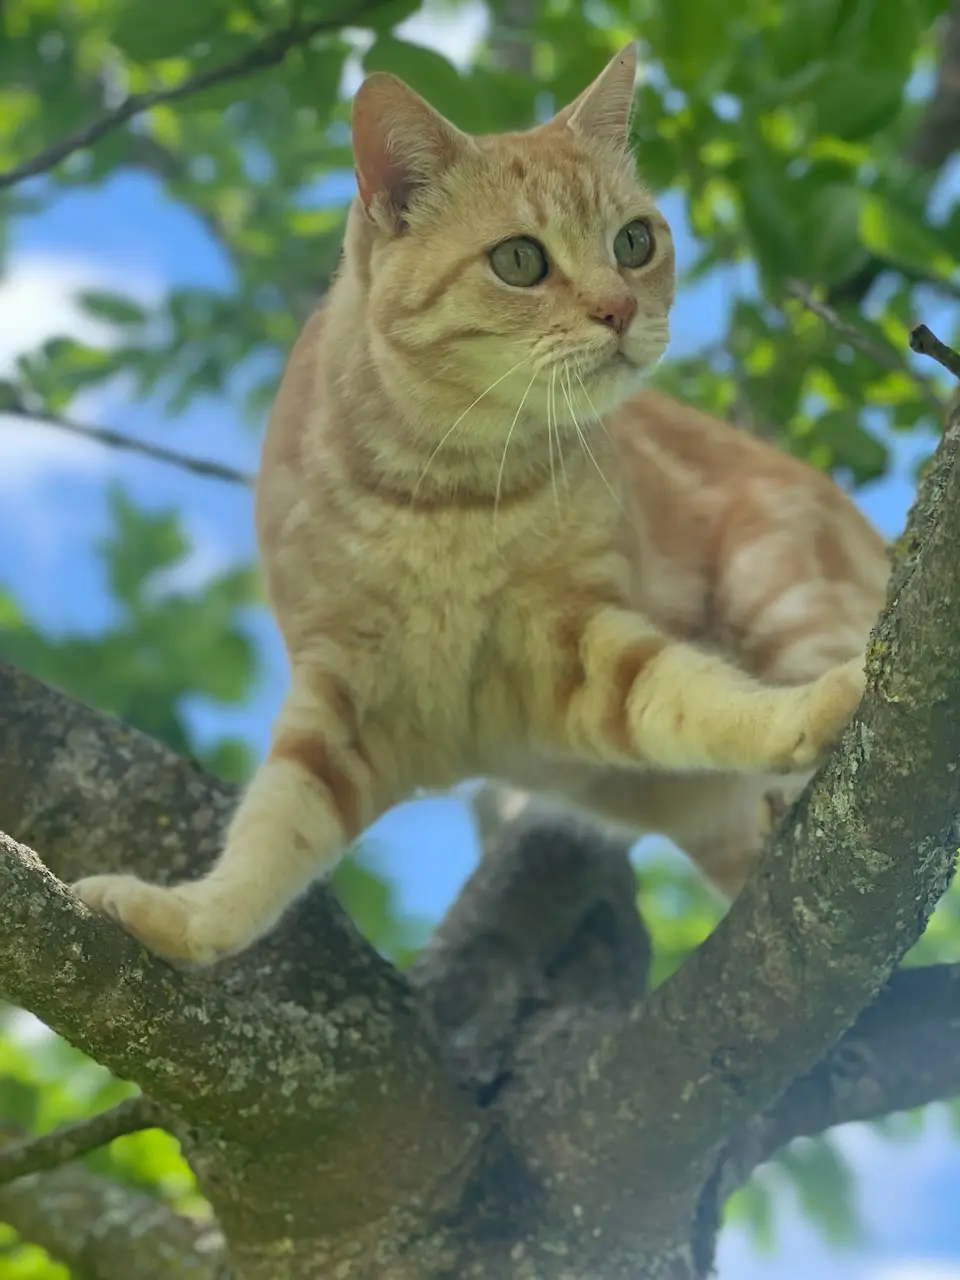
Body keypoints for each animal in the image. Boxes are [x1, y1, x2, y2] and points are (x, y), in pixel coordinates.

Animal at [71, 40, 890, 962]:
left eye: (634, 241)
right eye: (520, 261)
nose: (621, 309)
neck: (442, 494)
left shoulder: (585, 639)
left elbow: (710, 697)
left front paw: (807, 709)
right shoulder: (343, 702)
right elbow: (269, 835)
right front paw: (182, 917)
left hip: (776, 582)